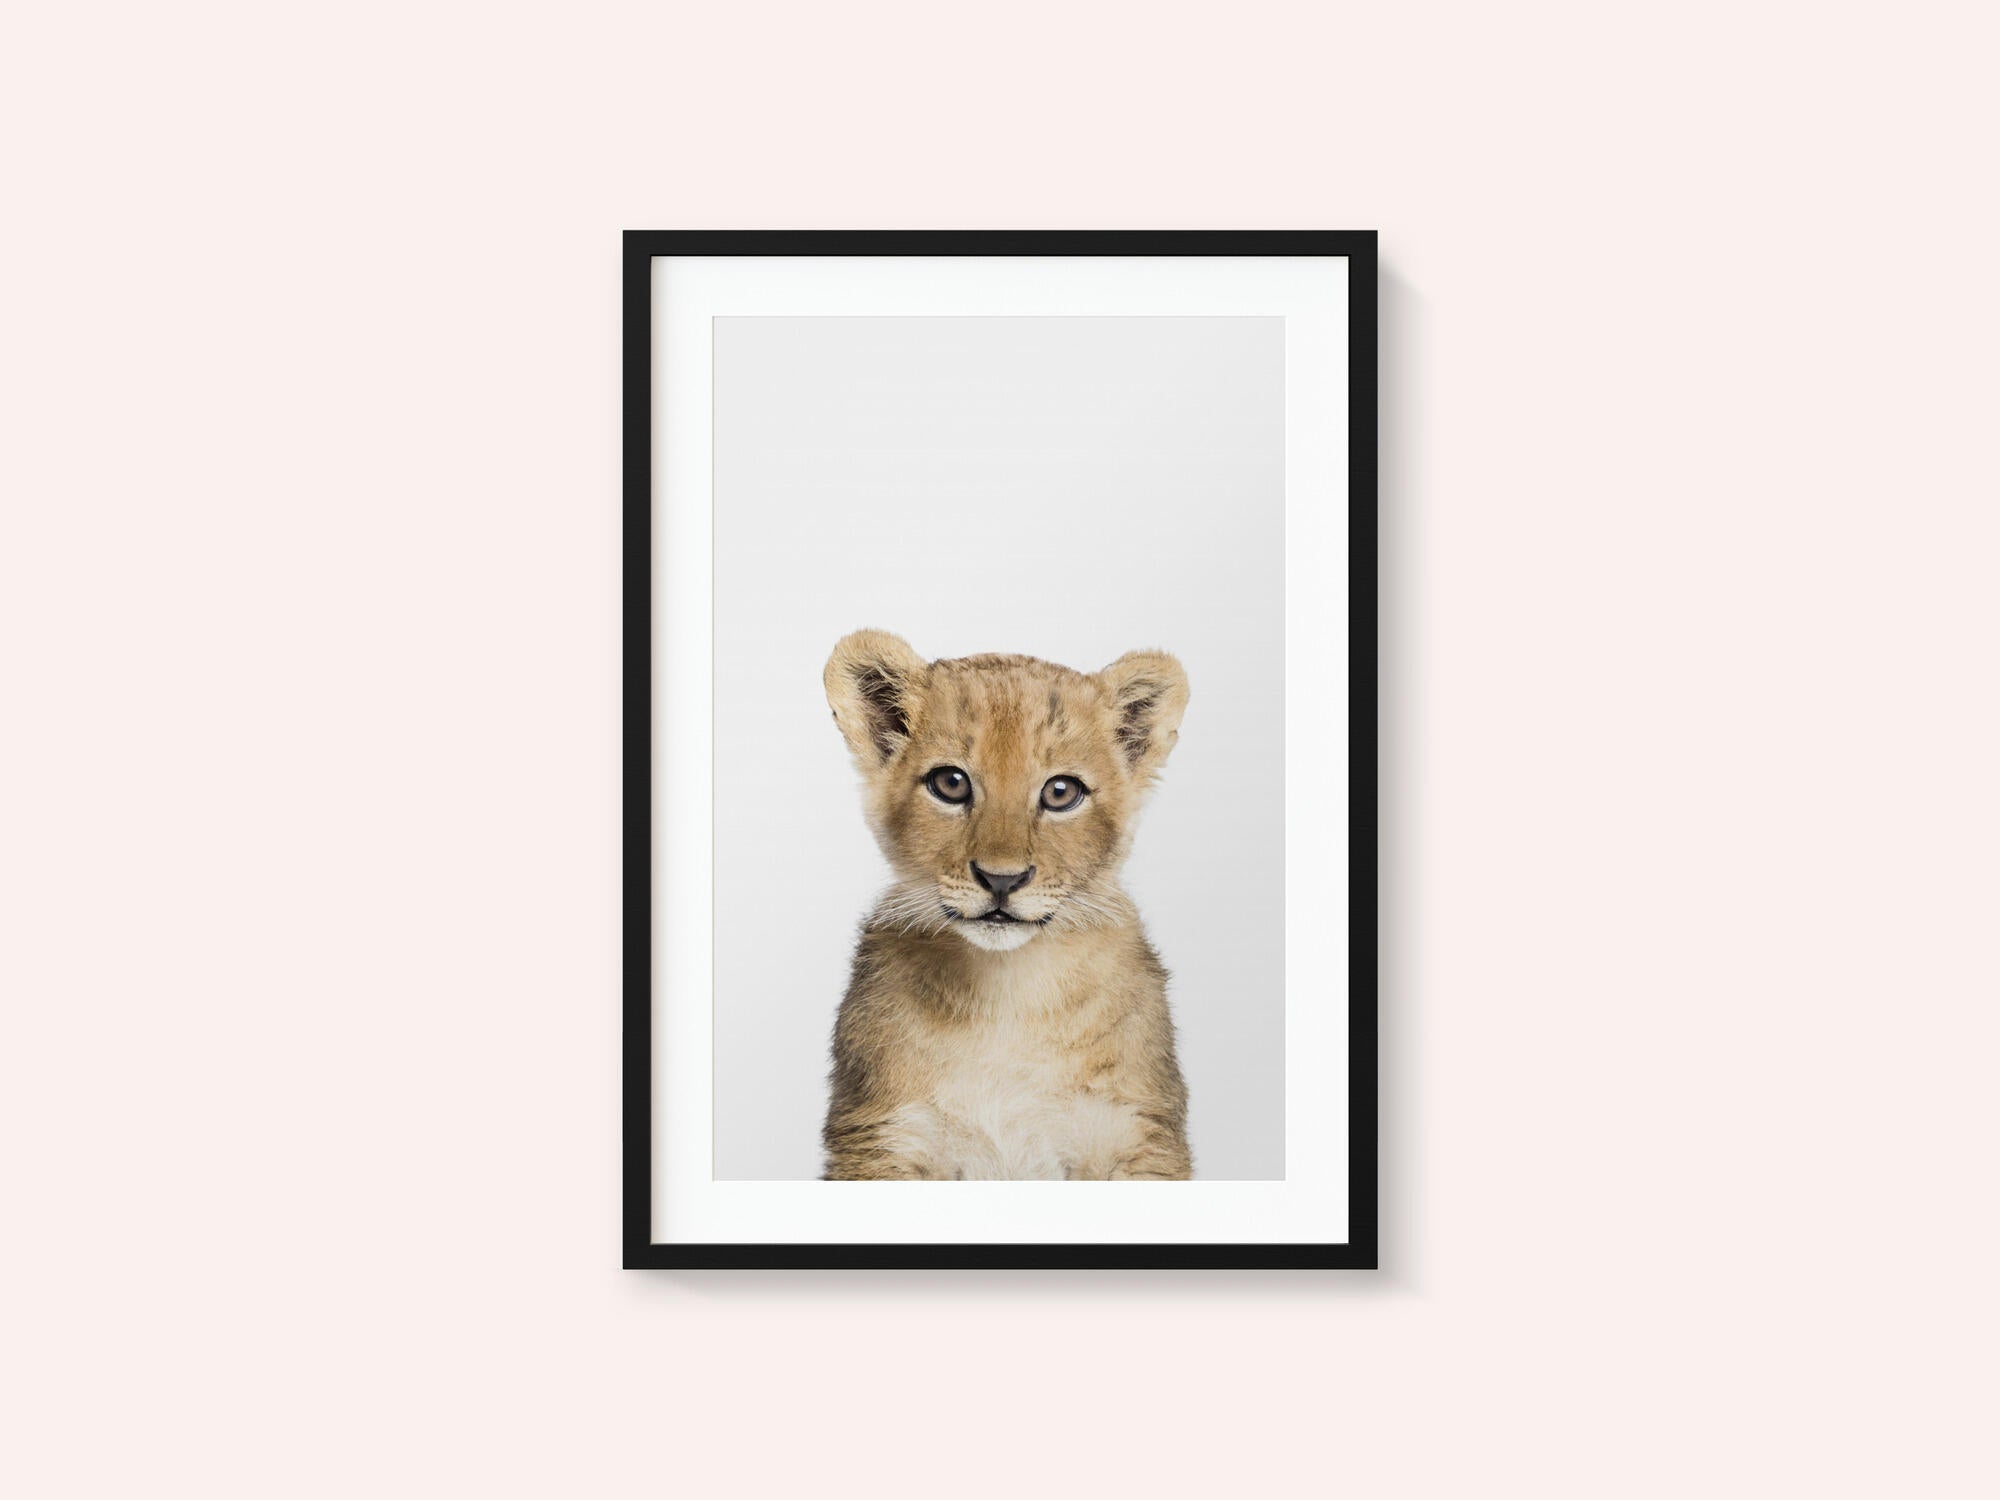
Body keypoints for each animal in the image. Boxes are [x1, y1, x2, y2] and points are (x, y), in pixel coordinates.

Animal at [819, 630, 1194, 1180]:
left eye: (1061, 792)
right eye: (950, 783)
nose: (1002, 879)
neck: (1008, 993)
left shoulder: (1136, 1133)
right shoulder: (883, 1136)